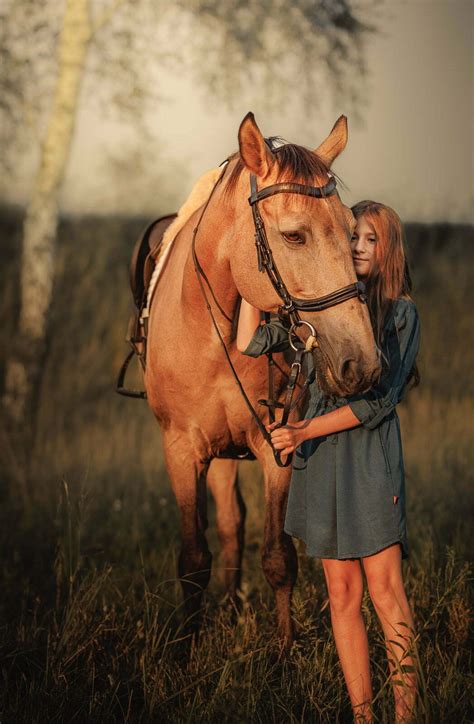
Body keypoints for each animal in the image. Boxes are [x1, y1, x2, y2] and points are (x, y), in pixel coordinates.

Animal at [144, 114, 382, 652]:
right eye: (294, 236)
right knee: (227, 525)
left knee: (234, 525)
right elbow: (193, 559)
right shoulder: (181, 449)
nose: (362, 363)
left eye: (351, 233)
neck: (213, 333)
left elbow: (277, 557)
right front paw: (186, 651)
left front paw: (283, 654)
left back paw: (234, 610)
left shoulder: (277, 443)